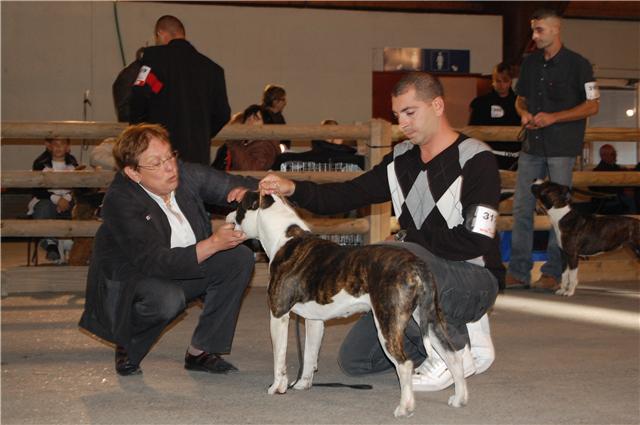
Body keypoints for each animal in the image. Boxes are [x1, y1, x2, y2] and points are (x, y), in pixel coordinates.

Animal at [228, 192, 468, 418]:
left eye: (238, 208)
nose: (228, 218)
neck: (283, 238)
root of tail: (415, 264)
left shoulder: (278, 315)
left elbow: (279, 358)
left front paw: (277, 387)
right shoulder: (315, 321)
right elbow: (310, 355)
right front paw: (303, 384)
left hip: (387, 324)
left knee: (405, 364)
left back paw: (404, 408)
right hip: (430, 319)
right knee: (452, 354)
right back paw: (459, 399)